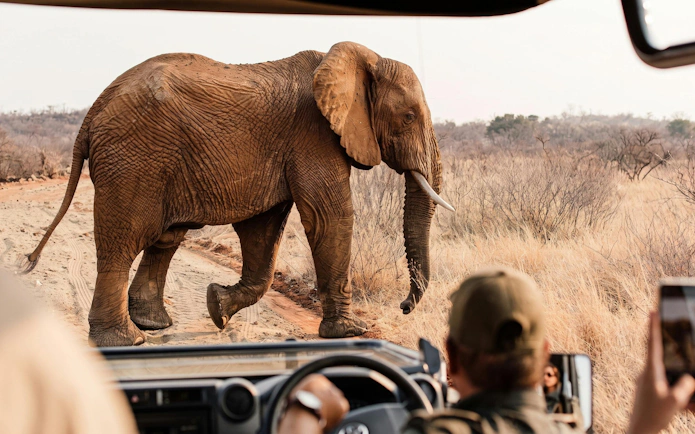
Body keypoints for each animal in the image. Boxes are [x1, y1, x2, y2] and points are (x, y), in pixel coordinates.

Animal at [24, 41, 453, 347]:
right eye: (409, 117)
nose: (403, 307)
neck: (364, 60)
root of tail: (92, 113)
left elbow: (263, 229)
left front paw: (217, 306)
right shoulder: (313, 136)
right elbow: (329, 218)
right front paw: (351, 332)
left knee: (165, 238)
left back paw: (154, 324)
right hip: (133, 159)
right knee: (124, 241)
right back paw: (126, 340)